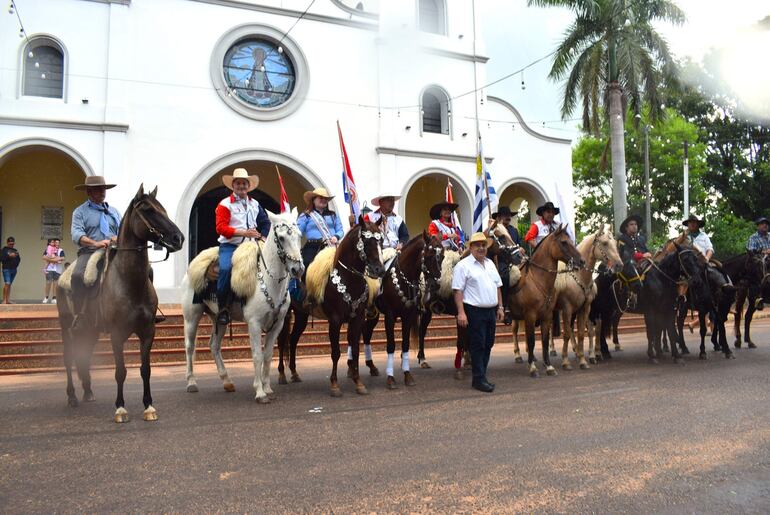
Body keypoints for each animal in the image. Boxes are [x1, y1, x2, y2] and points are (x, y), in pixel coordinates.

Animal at [55, 185, 184, 424]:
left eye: (163, 208)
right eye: (148, 210)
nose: (178, 238)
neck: (129, 283)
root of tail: (64, 275)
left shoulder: (147, 332)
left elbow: (145, 369)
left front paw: (149, 406)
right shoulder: (117, 334)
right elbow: (120, 371)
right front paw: (121, 408)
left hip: (91, 330)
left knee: (84, 356)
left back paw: (88, 391)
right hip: (66, 325)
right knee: (69, 358)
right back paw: (72, 397)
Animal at [181, 210, 304, 404]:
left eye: (299, 235)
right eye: (282, 238)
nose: (297, 270)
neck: (268, 281)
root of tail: (192, 267)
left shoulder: (277, 324)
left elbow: (268, 355)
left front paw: (267, 388)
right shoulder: (254, 323)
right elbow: (257, 355)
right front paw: (259, 392)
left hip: (219, 319)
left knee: (214, 345)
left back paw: (227, 381)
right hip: (191, 316)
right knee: (189, 347)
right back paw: (191, 382)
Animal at [276, 216, 384, 398]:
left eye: (381, 240)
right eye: (366, 241)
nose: (379, 270)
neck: (348, 278)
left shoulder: (357, 319)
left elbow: (355, 350)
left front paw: (358, 383)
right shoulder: (335, 321)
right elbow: (335, 352)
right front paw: (334, 385)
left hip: (301, 316)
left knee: (293, 339)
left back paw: (294, 373)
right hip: (284, 316)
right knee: (282, 340)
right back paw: (282, 374)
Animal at [362, 232, 444, 390]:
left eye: (442, 256)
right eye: (429, 255)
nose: (435, 285)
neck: (402, 278)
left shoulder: (408, 316)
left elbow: (405, 344)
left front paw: (407, 375)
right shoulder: (390, 316)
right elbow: (391, 345)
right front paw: (390, 378)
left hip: (374, 314)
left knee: (367, 333)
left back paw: (372, 367)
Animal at [504, 226, 584, 378]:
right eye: (564, 242)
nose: (581, 262)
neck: (537, 279)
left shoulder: (546, 316)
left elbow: (545, 341)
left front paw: (549, 366)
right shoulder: (530, 316)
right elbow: (532, 341)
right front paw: (533, 368)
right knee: (514, 331)